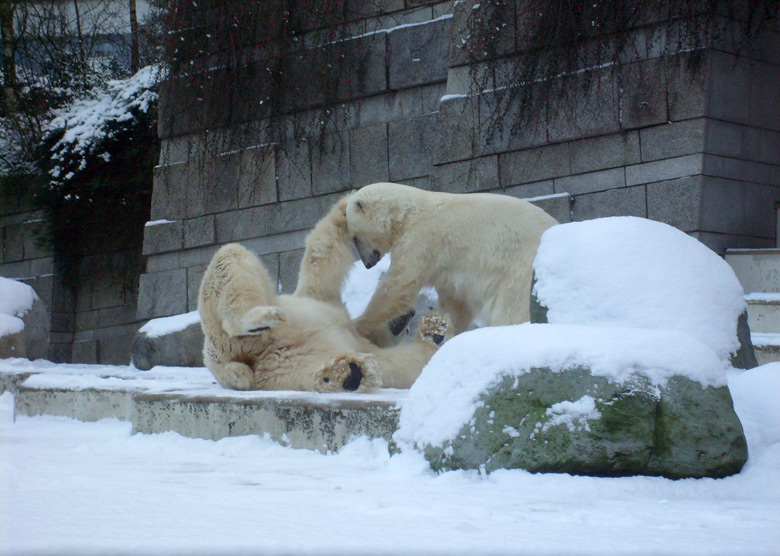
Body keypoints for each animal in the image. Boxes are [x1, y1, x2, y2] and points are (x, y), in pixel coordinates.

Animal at [197, 198, 450, 394]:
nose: (409, 314)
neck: (351, 325)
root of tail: (224, 361)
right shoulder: (322, 299)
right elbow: (323, 254)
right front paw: (348, 206)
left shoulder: (351, 336)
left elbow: (402, 365)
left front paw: (436, 332)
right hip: (223, 322)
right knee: (229, 259)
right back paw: (257, 318)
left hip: (276, 370)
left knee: (309, 371)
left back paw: (347, 373)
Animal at [344, 182, 556, 348]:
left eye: (355, 237)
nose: (367, 264)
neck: (407, 213)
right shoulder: (449, 267)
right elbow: (455, 304)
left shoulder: (422, 239)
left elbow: (398, 286)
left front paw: (358, 325)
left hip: (521, 268)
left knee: (511, 309)